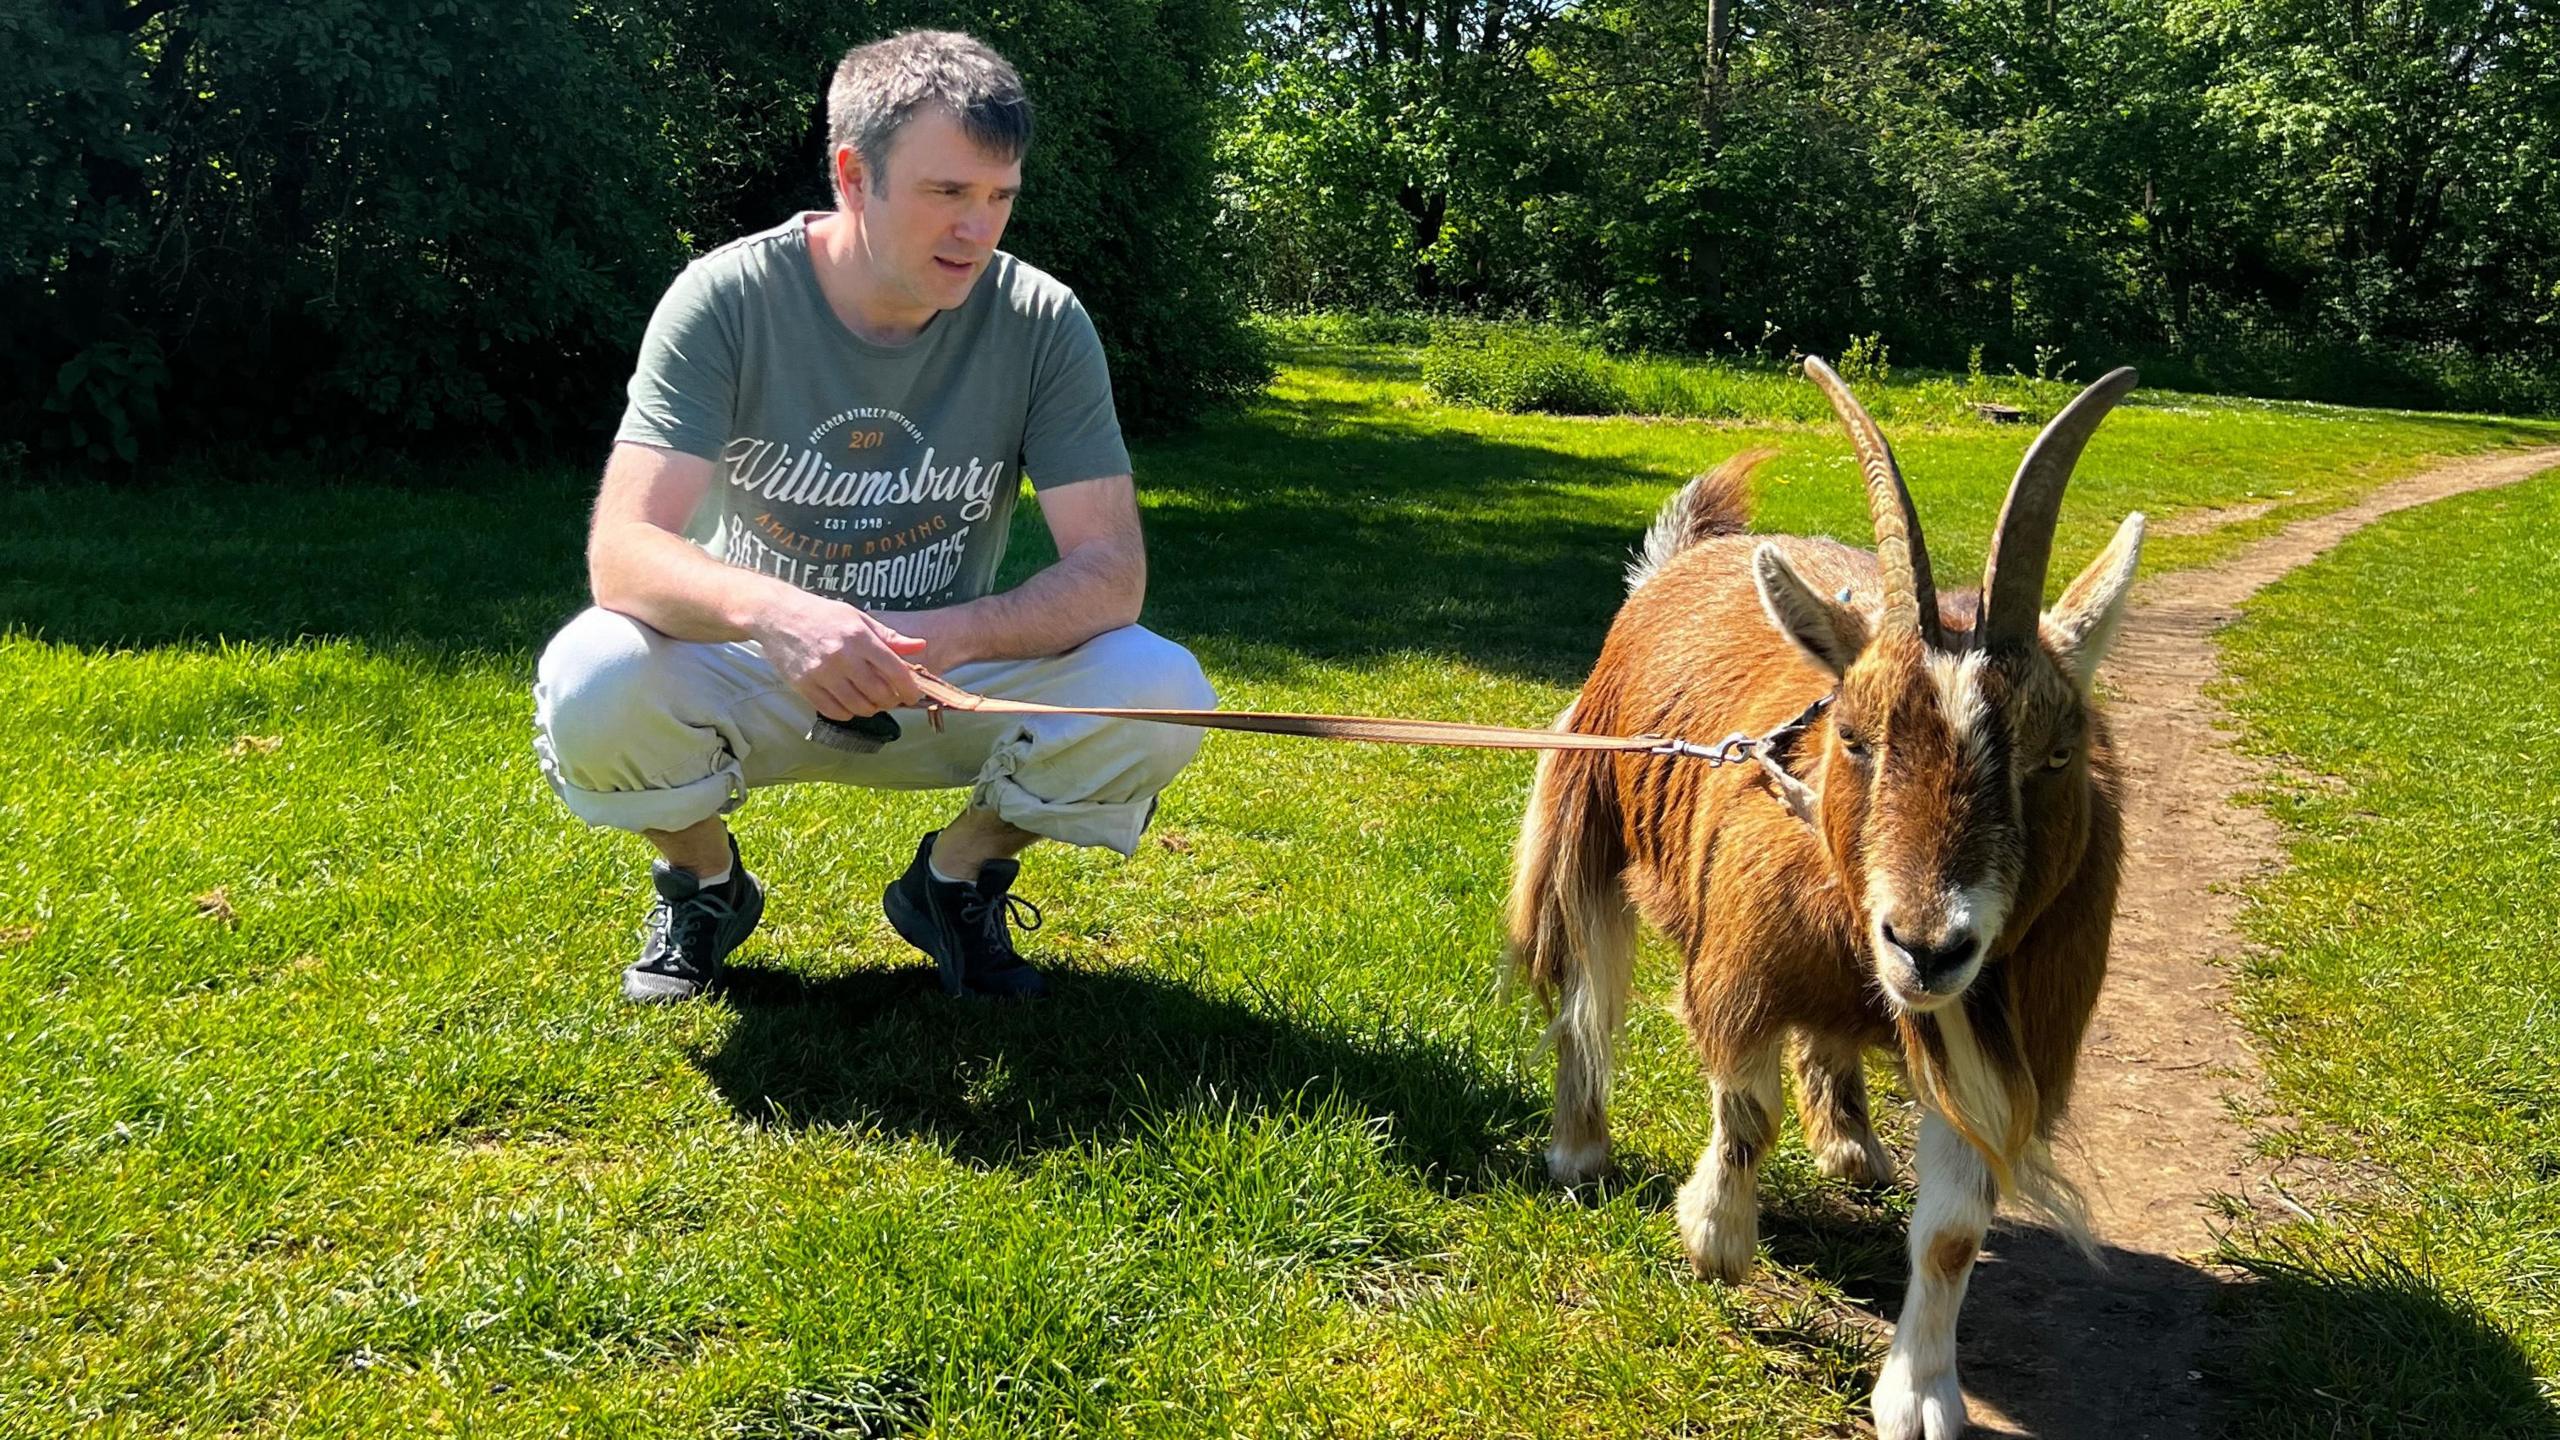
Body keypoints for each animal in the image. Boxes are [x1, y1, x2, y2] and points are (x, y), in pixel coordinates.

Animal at [1505, 358, 2150, 1434]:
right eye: (1853, 736)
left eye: (2056, 756)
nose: (1927, 945)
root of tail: (1680, 562)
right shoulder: (1738, 956)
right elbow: (1743, 1106)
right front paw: (1715, 1238)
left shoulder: (1995, 1030)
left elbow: (1952, 1231)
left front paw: (1921, 1394)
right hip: (1586, 812)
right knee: (1588, 999)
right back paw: (1580, 1150)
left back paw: (1849, 1140)